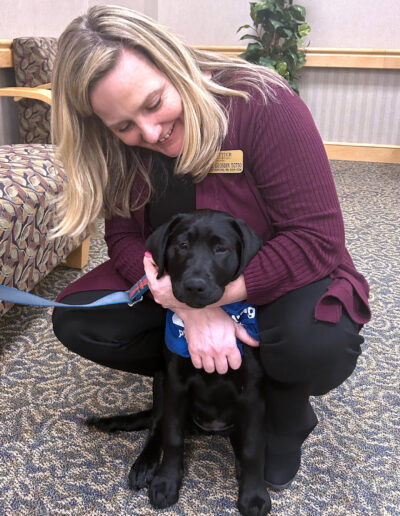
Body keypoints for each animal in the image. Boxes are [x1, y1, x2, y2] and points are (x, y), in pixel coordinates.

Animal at [90, 211, 272, 516]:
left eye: (220, 249)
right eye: (182, 245)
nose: (194, 286)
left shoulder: (253, 393)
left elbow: (252, 447)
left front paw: (254, 494)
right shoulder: (175, 383)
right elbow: (172, 438)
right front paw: (166, 482)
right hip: (160, 382)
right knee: (156, 426)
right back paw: (145, 465)